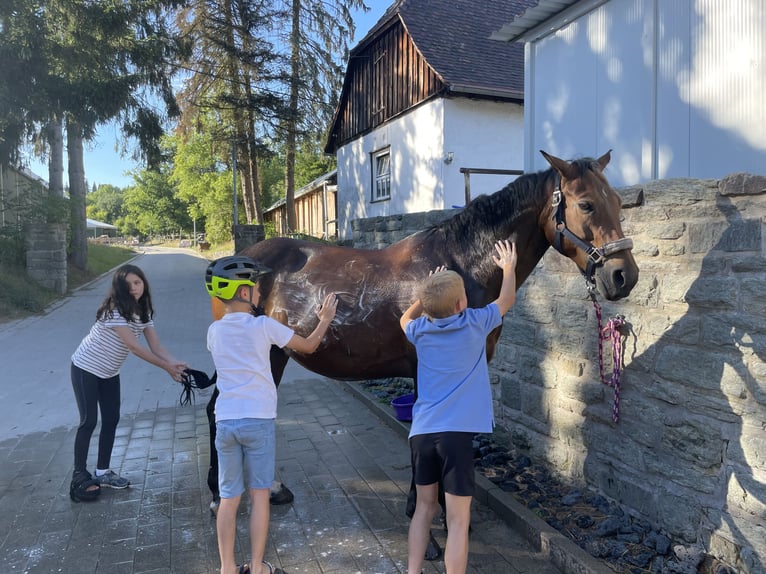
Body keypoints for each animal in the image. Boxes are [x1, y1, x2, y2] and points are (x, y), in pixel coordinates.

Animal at [206, 151, 640, 556]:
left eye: (619, 202)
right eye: (585, 204)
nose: (624, 276)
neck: (457, 268)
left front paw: (446, 516)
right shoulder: (424, 369)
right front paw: (427, 526)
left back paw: (268, 488)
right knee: (218, 411)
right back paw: (219, 495)